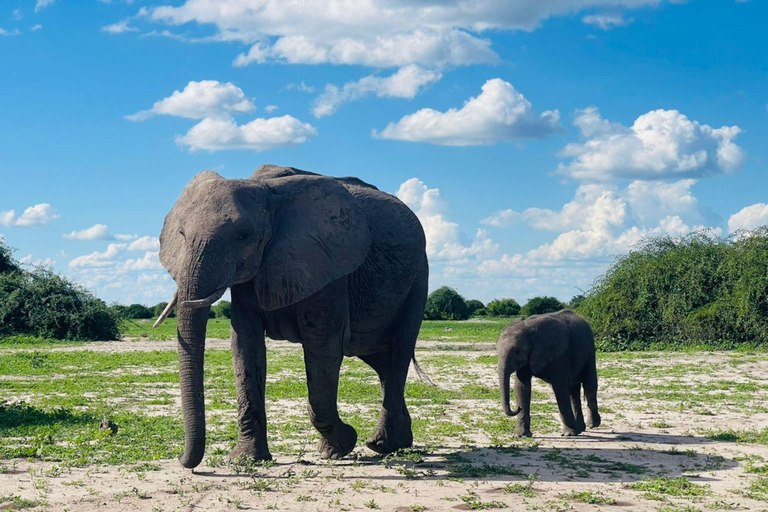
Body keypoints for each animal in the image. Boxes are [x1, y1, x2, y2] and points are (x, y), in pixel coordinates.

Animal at [154, 164, 432, 468]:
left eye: (243, 236)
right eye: (181, 234)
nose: (182, 459)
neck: (265, 191)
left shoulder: (326, 266)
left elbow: (322, 347)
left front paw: (341, 446)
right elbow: (245, 346)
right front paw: (248, 460)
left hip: (418, 278)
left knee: (397, 353)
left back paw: (382, 446)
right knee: (382, 361)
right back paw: (395, 442)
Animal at [498, 308, 600, 436]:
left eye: (517, 352)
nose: (518, 408)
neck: (529, 329)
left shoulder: (559, 353)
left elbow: (560, 387)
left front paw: (569, 434)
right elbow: (521, 387)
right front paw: (520, 435)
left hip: (590, 349)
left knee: (589, 384)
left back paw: (592, 425)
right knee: (574, 389)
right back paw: (580, 429)